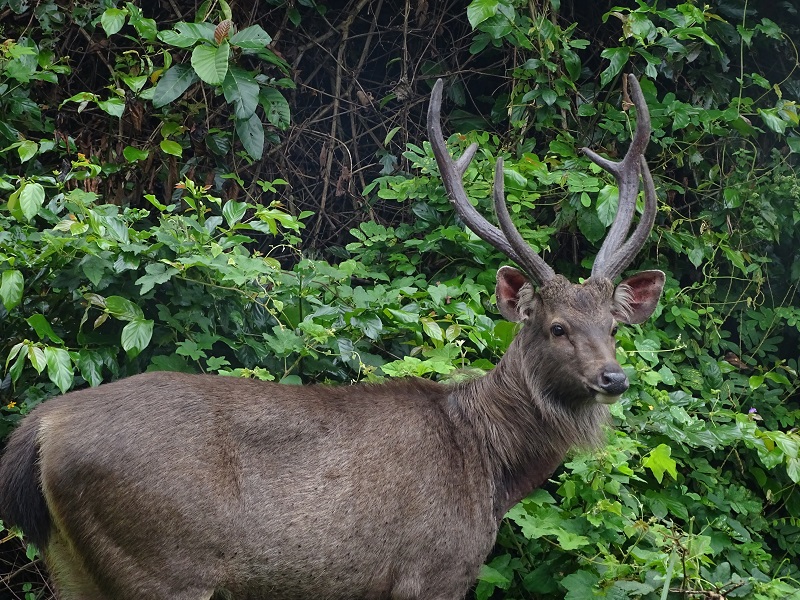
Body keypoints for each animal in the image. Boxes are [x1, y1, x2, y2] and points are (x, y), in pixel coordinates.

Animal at [0, 75, 664, 600]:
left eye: (613, 326)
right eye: (557, 326)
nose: (613, 377)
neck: (491, 468)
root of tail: (41, 430)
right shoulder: (431, 572)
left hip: (73, 566)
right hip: (158, 565)